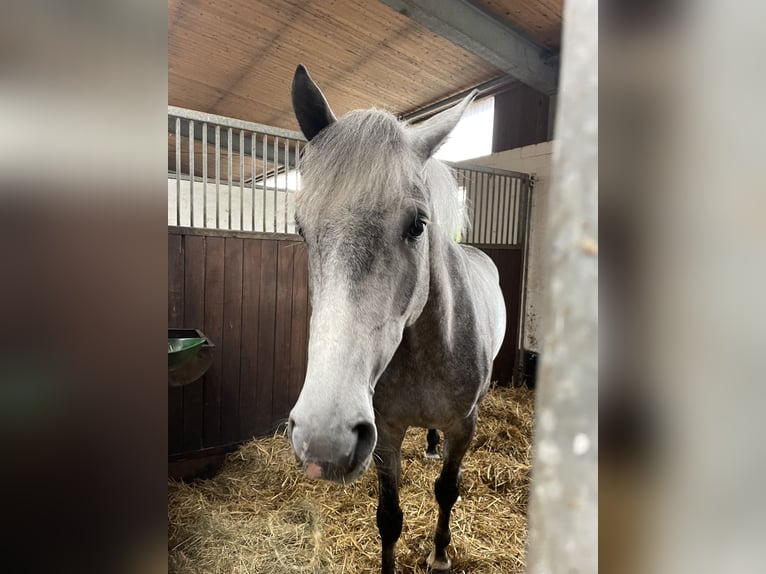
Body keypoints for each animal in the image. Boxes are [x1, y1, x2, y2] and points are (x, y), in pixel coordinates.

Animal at [286, 65, 504, 574]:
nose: (323, 440)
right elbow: (388, 518)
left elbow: (447, 490)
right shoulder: (384, 433)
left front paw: (440, 554)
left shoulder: (464, 426)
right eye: (301, 227)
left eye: (418, 225)